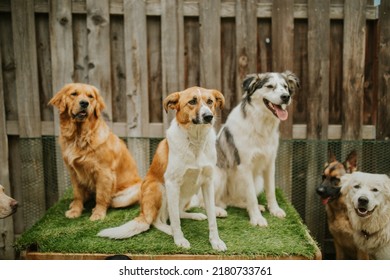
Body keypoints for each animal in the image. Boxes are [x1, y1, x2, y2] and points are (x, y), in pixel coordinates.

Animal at [48, 83, 142, 221]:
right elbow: (77, 194)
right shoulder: (73, 172)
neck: (79, 136)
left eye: (90, 96)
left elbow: (101, 196)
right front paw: (75, 211)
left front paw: (98, 213)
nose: (84, 103)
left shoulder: (104, 172)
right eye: (74, 94)